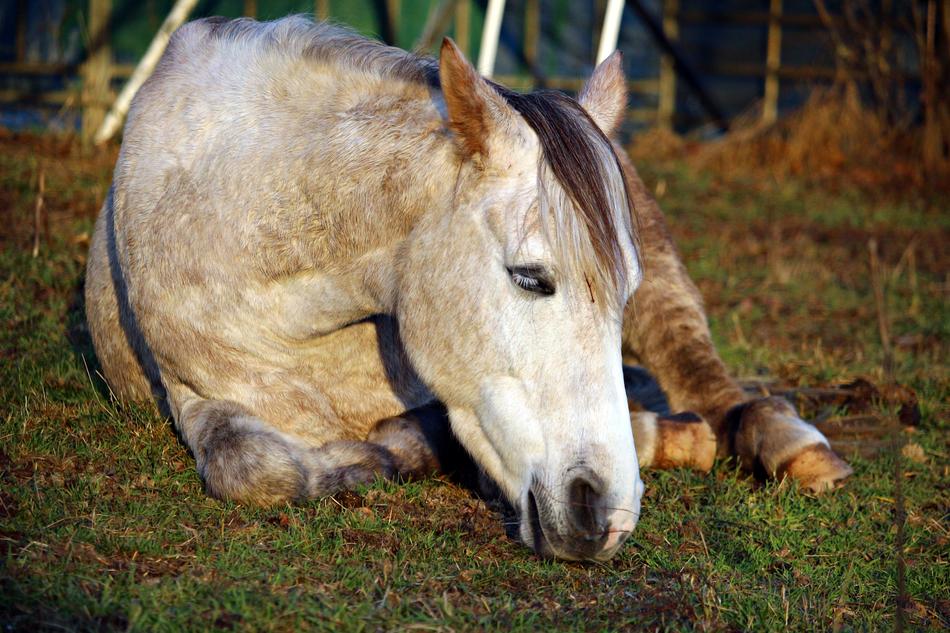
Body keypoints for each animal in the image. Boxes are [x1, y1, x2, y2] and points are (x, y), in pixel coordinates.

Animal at [84, 16, 852, 562]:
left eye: (621, 293)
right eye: (530, 278)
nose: (606, 513)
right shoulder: (192, 393)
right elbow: (256, 469)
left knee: (714, 383)